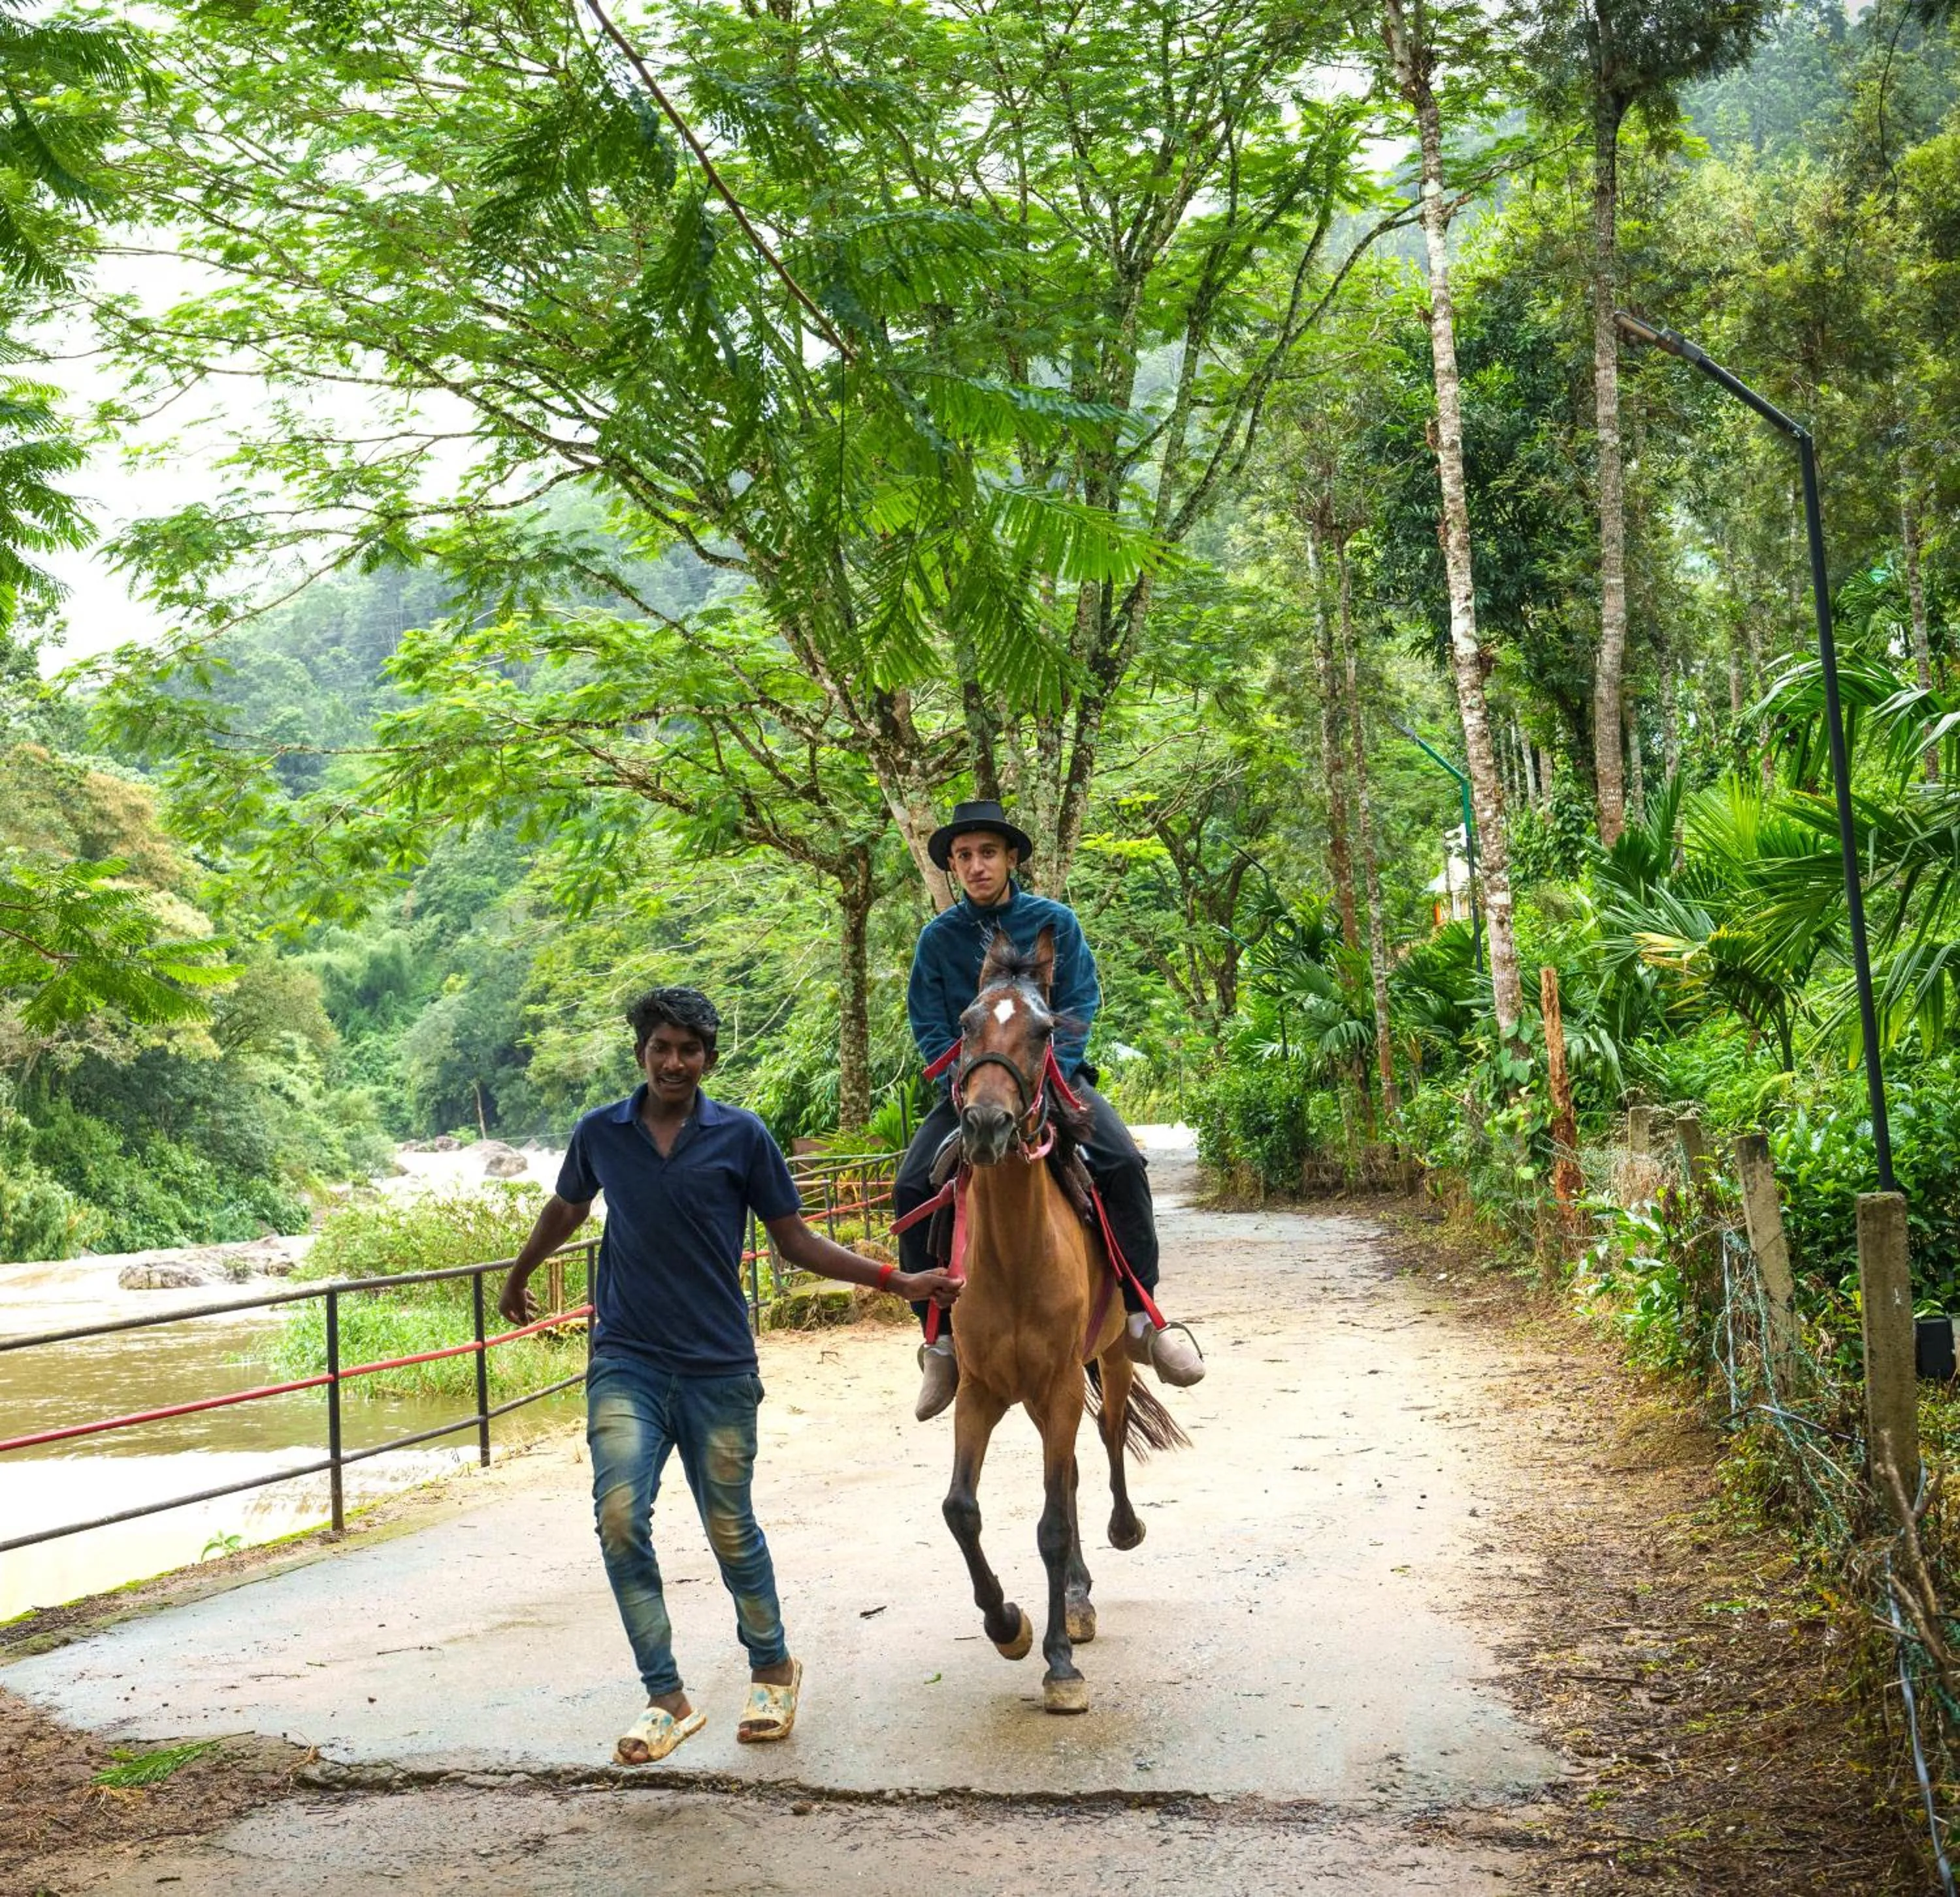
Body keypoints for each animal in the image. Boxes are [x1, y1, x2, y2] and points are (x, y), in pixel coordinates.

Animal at [937, 924, 1187, 1714]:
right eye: (965, 1024)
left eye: (1045, 1032)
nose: (986, 1126)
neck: (1017, 1254)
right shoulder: (981, 1391)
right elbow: (962, 1509)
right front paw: (1007, 1624)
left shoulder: (1059, 1386)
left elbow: (1049, 1524)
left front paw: (1058, 1665)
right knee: (1071, 1471)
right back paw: (1071, 1599)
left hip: (1100, 1364)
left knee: (1102, 1444)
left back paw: (1111, 1548)